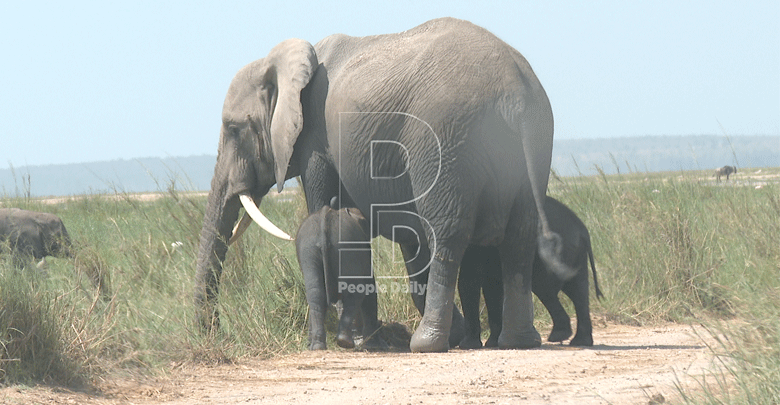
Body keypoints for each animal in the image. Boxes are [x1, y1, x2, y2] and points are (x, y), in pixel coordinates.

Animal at [294, 204, 386, 348]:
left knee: (315, 294)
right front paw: (374, 345)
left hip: (309, 250)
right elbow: (370, 288)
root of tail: (324, 221)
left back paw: (318, 346)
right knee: (356, 292)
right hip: (344, 246)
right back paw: (345, 342)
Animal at [460, 196, 608, 348]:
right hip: (574, 253)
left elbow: (470, 281)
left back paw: (559, 336)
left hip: (554, 255)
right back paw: (579, 341)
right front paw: (491, 343)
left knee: (545, 289)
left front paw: (471, 345)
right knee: (578, 291)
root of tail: (582, 229)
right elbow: (489, 287)